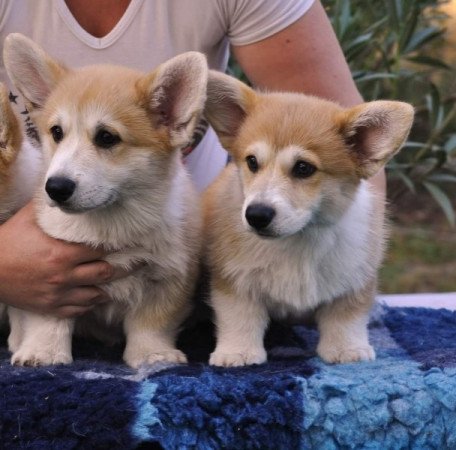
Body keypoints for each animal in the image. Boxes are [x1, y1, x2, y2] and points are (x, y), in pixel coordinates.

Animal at [1, 33, 205, 368]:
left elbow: (151, 324)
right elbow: (49, 320)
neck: (109, 222)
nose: (55, 188)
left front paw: (152, 355)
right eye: (56, 132)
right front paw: (44, 353)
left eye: (107, 137)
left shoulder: (169, 276)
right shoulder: (48, 279)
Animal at [203, 69, 414, 366]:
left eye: (303, 168)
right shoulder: (233, 280)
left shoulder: (355, 277)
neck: (298, 239)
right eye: (252, 162)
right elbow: (239, 317)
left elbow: (345, 317)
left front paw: (346, 349)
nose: (256, 215)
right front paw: (238, 352)